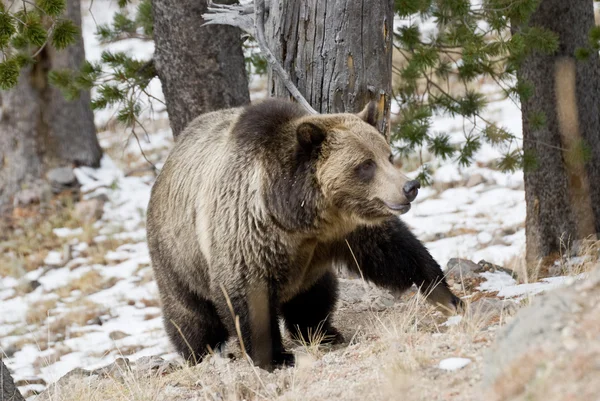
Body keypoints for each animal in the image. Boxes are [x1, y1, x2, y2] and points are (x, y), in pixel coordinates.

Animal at [146, 99, 464, 368]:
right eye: (365, 164)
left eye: (389, 155)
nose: (410, 186)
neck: (302, 217)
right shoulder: (248, 230)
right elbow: (248, 294)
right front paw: (274, 357)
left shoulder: (347, 229)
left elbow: (395, 251)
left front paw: (446, 295)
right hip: (177, 255)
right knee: (191, 315)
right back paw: (199, 352)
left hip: (308, 271)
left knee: (314, 295)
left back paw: (323, 331)